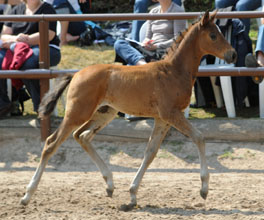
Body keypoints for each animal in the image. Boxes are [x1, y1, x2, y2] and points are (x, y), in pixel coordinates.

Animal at [19, 11, 236, 208]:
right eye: (213, 35)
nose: (232, 54)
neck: (173, 71)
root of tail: (76, 74)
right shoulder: (171, 114)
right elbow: (199, 137)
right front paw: (204, 189)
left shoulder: (163, 119)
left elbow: (150, 152)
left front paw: (132, 195)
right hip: (78, 113)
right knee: (51, 143)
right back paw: (27, 195)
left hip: (104, 113)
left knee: (82, 136)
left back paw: (109, 184)